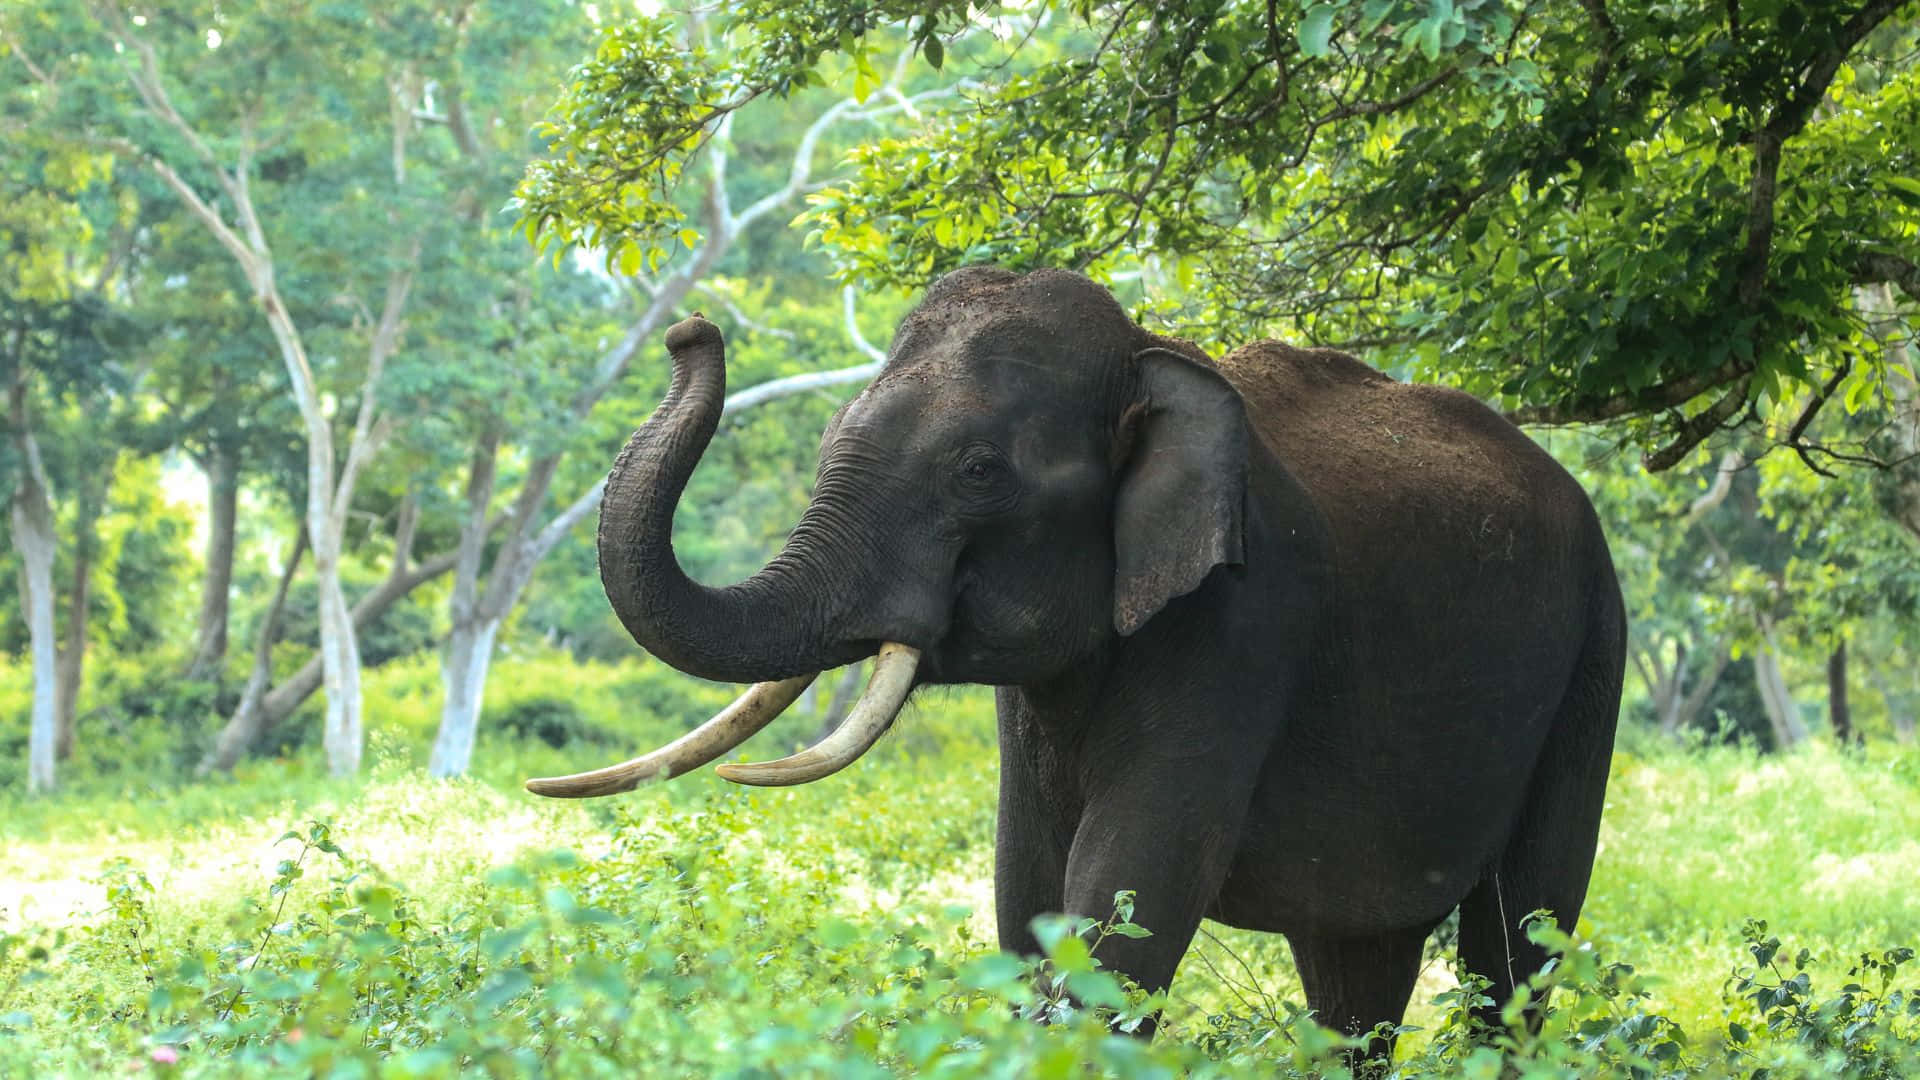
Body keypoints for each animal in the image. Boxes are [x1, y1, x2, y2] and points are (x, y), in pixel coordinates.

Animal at [528, 266, 1626, 1048]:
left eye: (977, 472)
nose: (690, 330)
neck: (1150, 353)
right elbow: (1029, 893)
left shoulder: (1243, 623)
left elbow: (1125, 899)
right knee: (1356, 972)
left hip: (1593, 658)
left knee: (1518, 945)